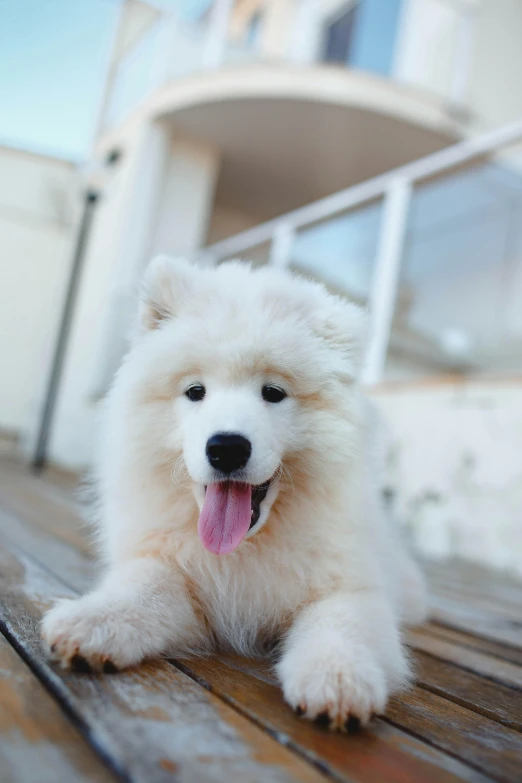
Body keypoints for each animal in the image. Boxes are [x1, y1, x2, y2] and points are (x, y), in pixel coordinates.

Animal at [42, 260, 424, 732]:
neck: (243, 550)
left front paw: (337, 678)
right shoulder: (176, 575)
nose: (226, 447)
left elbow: (341, 621)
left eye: (273, 393)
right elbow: (143, 589)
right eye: (195, 392)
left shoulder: (352, 584)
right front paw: (92, 621)